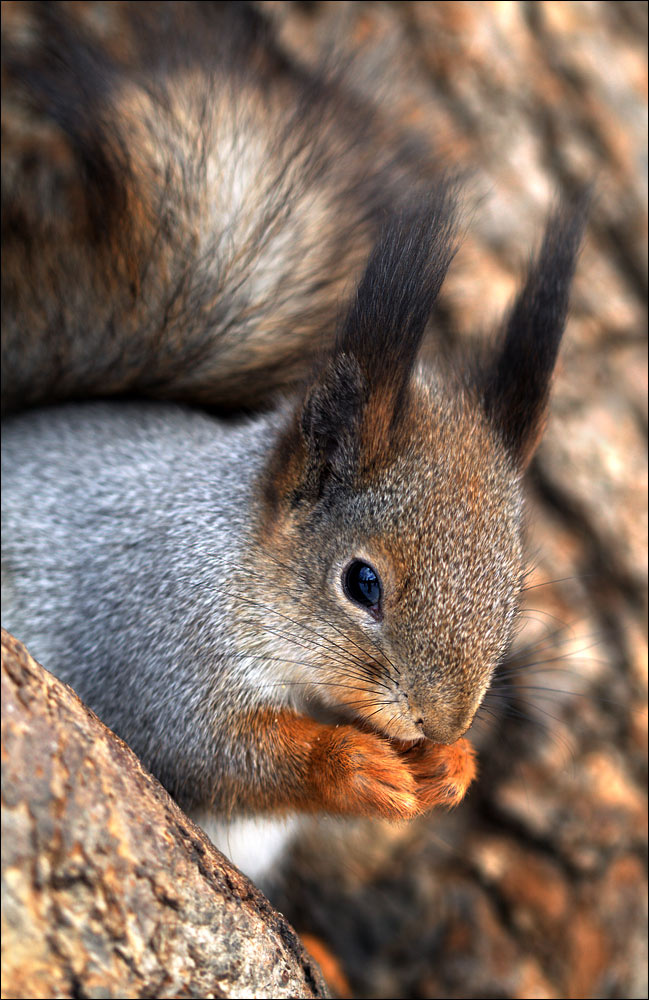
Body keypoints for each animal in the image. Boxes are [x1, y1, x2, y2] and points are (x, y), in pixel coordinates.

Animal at [1, 3, 587, 872]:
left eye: (512, 596)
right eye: (361, 583)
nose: (440, 722)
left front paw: (452, 765)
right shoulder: (154, 646)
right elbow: (211, 752)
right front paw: (353, 766)